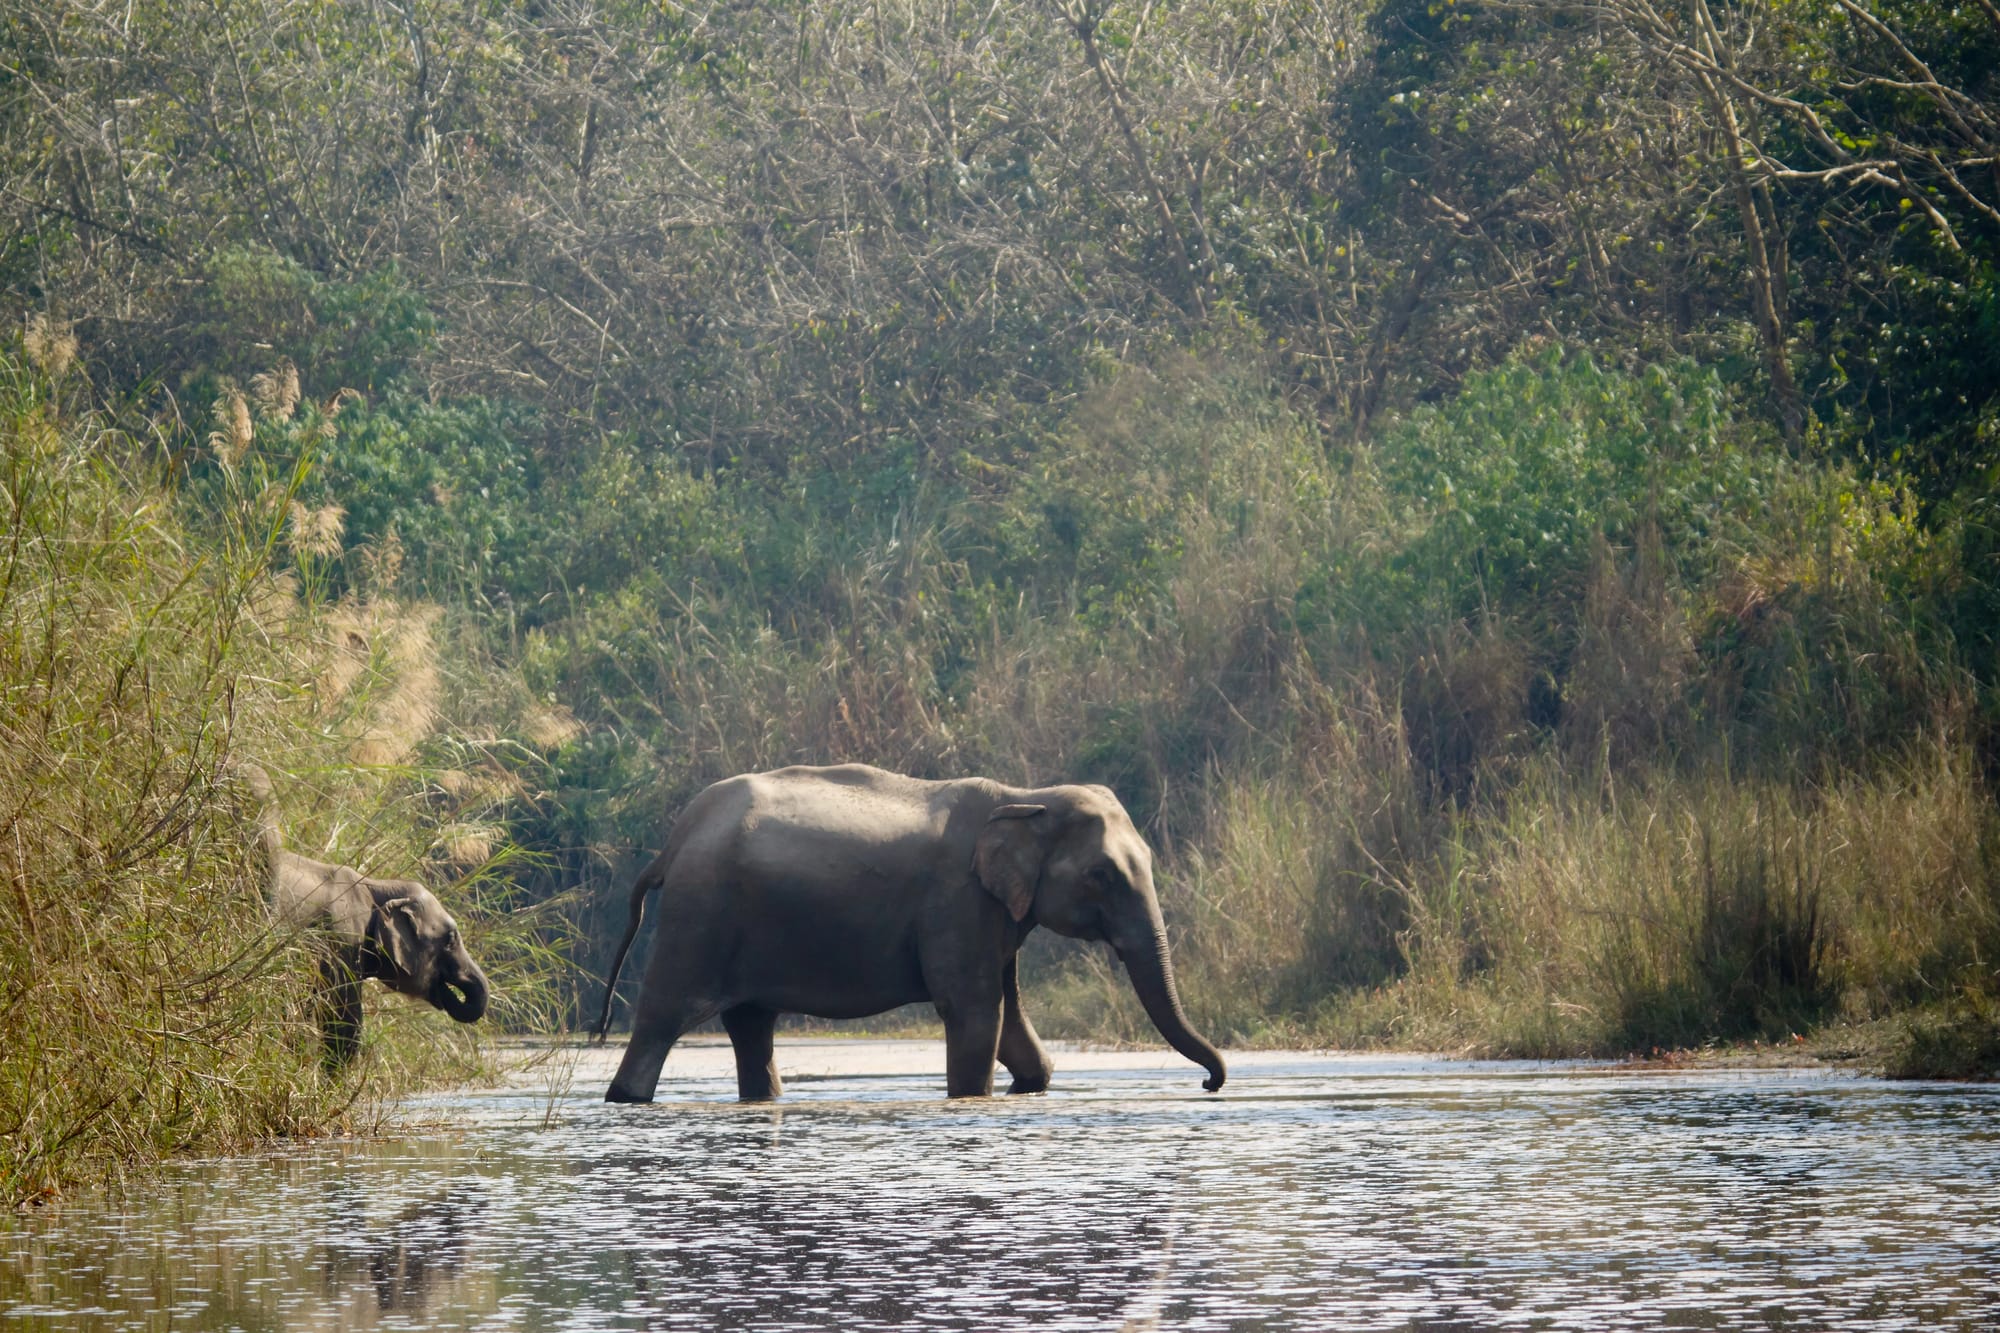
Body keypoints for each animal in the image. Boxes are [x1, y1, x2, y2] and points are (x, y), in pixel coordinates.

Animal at [592, 764, 1216, 1096]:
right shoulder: (958, 903)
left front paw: (1030, 1083)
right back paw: (626, 1097)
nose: (1211, 1084)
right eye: (1101, 875)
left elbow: (1014, 1026)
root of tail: (673, 842)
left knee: (750, 1027)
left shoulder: (992, 914)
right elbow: (975, 1014)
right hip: (698, 918)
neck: (1024, 796)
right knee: (661, 1022)